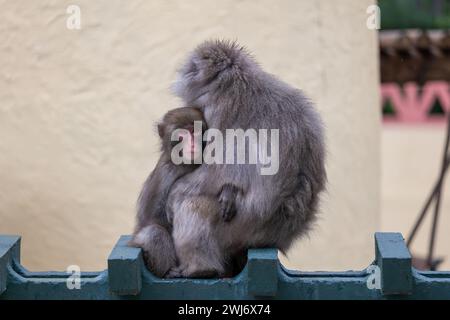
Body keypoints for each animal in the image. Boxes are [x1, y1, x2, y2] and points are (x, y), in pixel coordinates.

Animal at [163, 40, 326, 278]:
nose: (182, 74)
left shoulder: (218, 110)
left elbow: (217, 168)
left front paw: (175, 191)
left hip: (243, 226)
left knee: (192, 205)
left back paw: (200, 269)